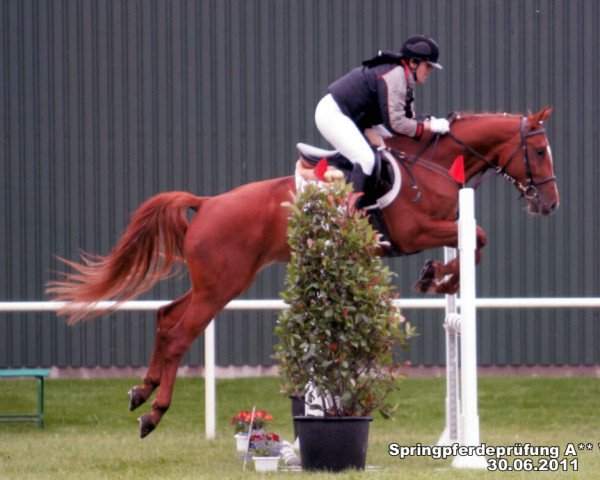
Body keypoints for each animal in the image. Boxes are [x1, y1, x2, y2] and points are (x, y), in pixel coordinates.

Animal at [45, 107, 556, 436]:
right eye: (541, 152)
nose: (549, 204)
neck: (430, 163)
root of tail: (206, 203)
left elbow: (475, 242)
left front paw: (437, 276)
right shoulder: (415, 231)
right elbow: (479, 238)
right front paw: (438, 276)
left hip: (218, 282)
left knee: (167, 316)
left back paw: (141, 390)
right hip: (221, 287)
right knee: (179, 334)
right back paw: (153, 413)